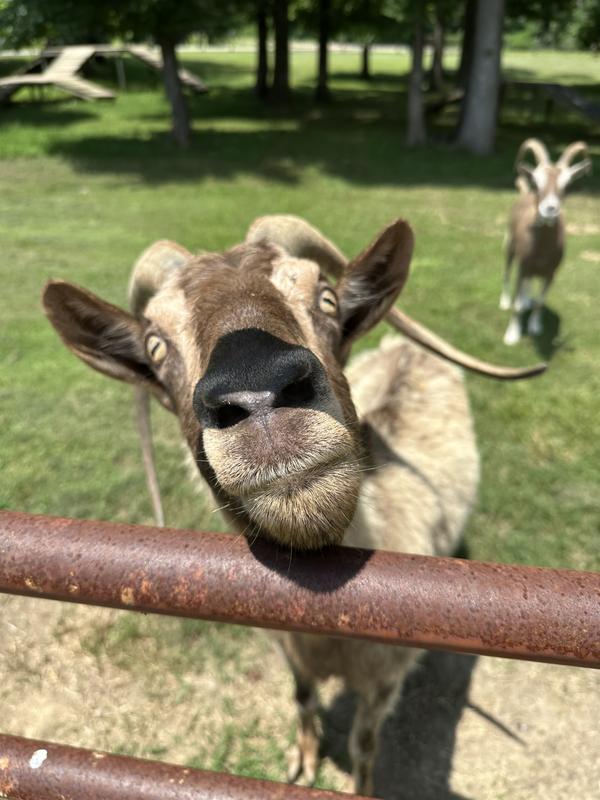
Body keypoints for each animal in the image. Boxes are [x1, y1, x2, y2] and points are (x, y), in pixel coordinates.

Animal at [42, 216, 544, 796]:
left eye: (325, 298)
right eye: (155, 346)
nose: (258, 394)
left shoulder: (384, 680)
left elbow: (365, 745)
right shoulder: (290, 652)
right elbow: (302, 700)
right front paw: (302, 762)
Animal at [501, 138, 592, 345]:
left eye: (567, 184)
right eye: (536, 182)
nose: (550, 209)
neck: (541, 249)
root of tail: (524, 193)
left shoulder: (551, 273)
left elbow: (540, 302)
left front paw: (535, 327)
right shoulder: (523, 267)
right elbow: (517, 305)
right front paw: (512, 335)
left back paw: (528, 300)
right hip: (510, 247)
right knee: (507, 272)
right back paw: (504, 301)